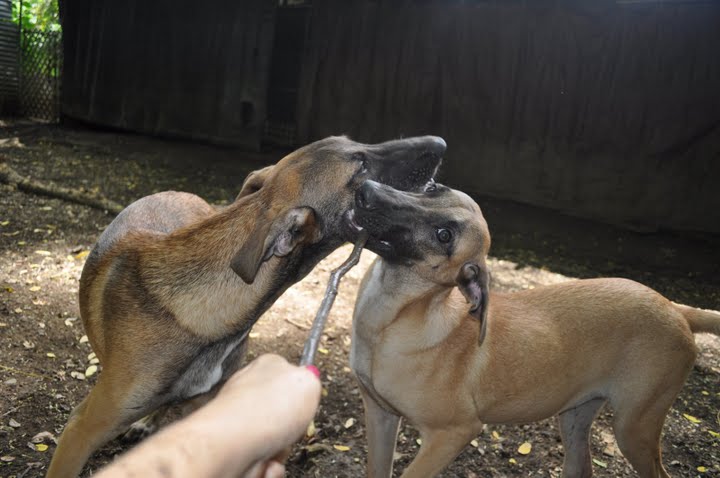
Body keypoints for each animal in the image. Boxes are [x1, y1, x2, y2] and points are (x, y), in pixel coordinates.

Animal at [348, 180, 720, 478]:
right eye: (431, 188)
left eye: (445, 236)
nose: (366, 190)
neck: (389, 320)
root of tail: (674, 307)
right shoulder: (380, 414)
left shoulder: (452, 432)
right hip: (576, 416)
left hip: (634, 428)